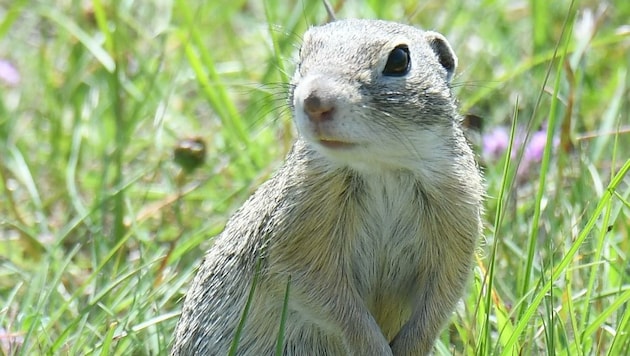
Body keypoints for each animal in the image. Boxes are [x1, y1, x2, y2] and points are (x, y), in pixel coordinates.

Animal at [172, 20, 484, 356]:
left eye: (400, 59)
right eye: (301, 54)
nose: (315, 101)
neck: (380, 167)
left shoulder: (457, 221)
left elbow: (439, 300)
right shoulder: (298, 229)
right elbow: (326, 296)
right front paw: (374, 348)